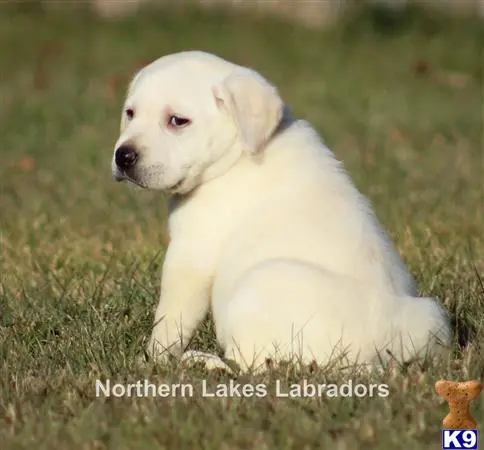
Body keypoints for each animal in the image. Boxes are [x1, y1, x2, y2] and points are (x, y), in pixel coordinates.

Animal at [111, 50, 452, 372]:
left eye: (177, 121)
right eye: (130, 113)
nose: (123, 156)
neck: (237, 154)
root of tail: (377, 356)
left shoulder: (191, 256)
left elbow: (170, 320)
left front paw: (150, 361)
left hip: (259, 283)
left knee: (250, 366)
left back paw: (201, 361)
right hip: (430, 314)